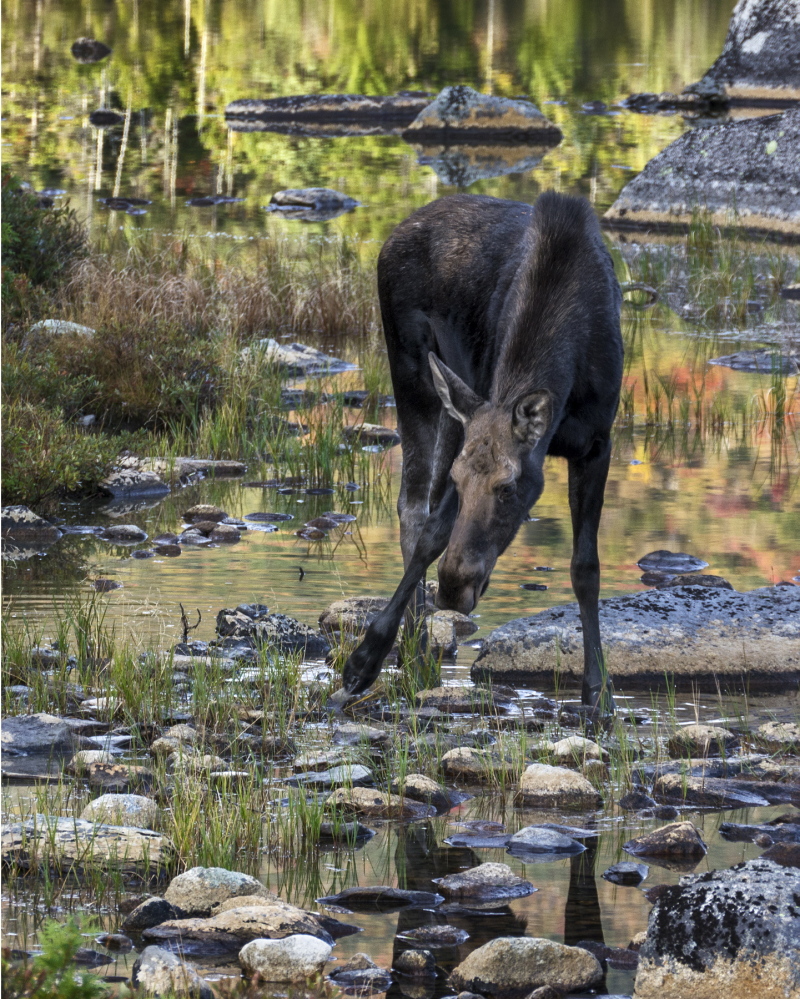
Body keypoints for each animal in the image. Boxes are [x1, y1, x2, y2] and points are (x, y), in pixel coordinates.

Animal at [342, 191, 623, 713]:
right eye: (462, 480)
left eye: (509, 487)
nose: (456, 585)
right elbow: (435, 533)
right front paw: (365, 658)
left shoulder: (597, 443)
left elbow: (586, 568)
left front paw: (598, 694)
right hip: (413, 373)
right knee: (414, 507)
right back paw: (413, 652)